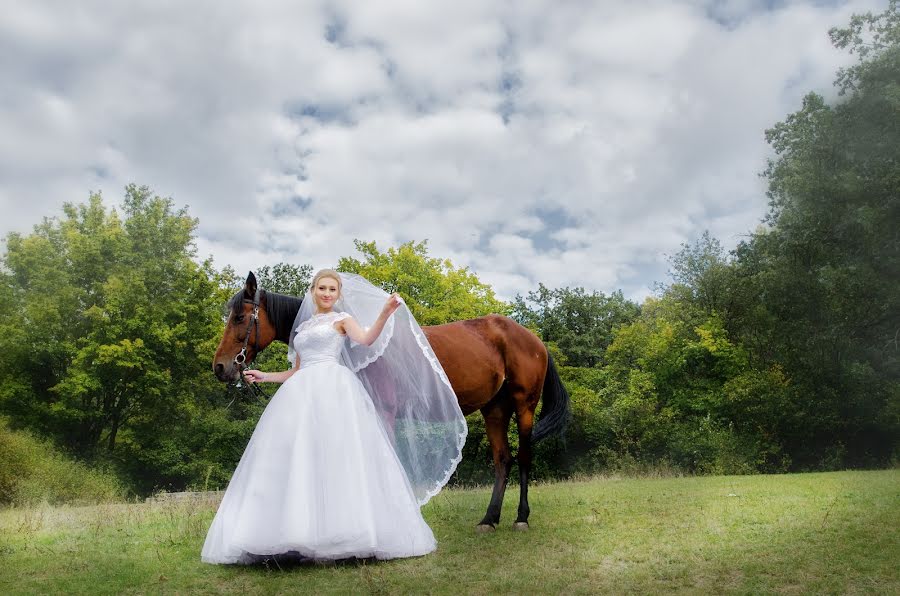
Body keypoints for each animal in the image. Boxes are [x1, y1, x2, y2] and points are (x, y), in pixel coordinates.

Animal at [212, 274, 568, 532]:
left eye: (240, 317)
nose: (220, 367)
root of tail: (533, 338)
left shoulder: (386, 412)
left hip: (523, 406)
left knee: (523, 457)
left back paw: (521, 518)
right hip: (494, 409)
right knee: (502, 460)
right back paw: (489, 519)